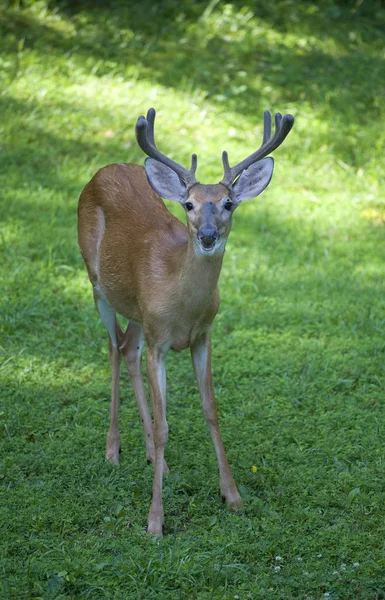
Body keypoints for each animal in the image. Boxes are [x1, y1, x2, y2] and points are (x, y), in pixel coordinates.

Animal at [78, 108, 294, 536]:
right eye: (189, 205)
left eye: (229, 203)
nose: (208, 235)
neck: (181, 302)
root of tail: (104, 170)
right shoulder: (160, 340)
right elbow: (165, 424)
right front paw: (154, 521)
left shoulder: (202, 336)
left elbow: (211, 410)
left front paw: (233, 496)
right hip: (97, 284)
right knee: (112, 348)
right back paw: (113, 450)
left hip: (138, 311)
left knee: (127, 348)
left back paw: (152, 459)